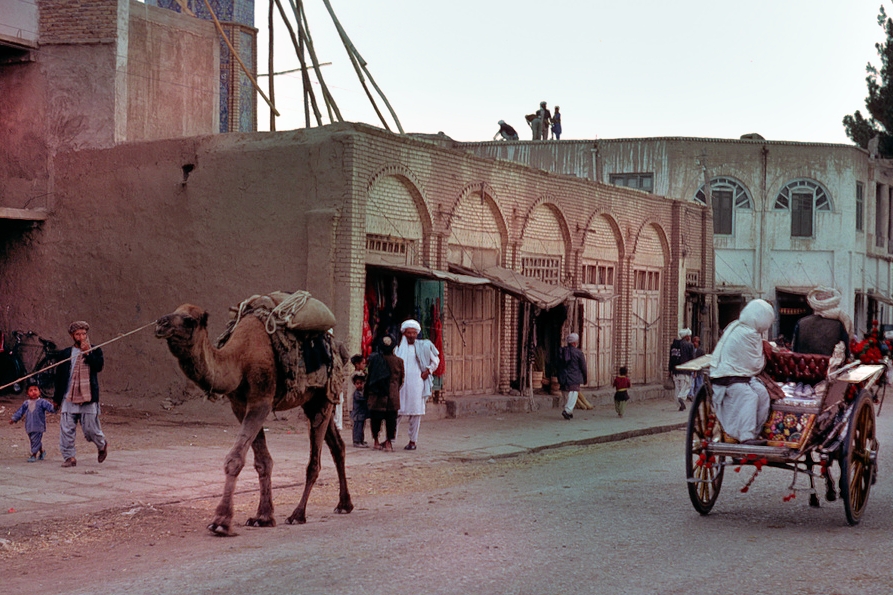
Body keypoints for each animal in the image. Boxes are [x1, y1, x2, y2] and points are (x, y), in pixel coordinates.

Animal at [153, 302, 352, 536]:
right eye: (175, 311)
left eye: (189, 320)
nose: (161, 323)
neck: (239, 359)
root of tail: (339, 347)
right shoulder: (240, 406)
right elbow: (263, 462)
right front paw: (263, 517)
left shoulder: (261, 401)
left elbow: (235, 459)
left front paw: (221, 521)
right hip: (312, 401)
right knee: (337, 445)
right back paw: (344, 504)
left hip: (324, 397)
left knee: (315, 461)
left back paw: (297, 514)